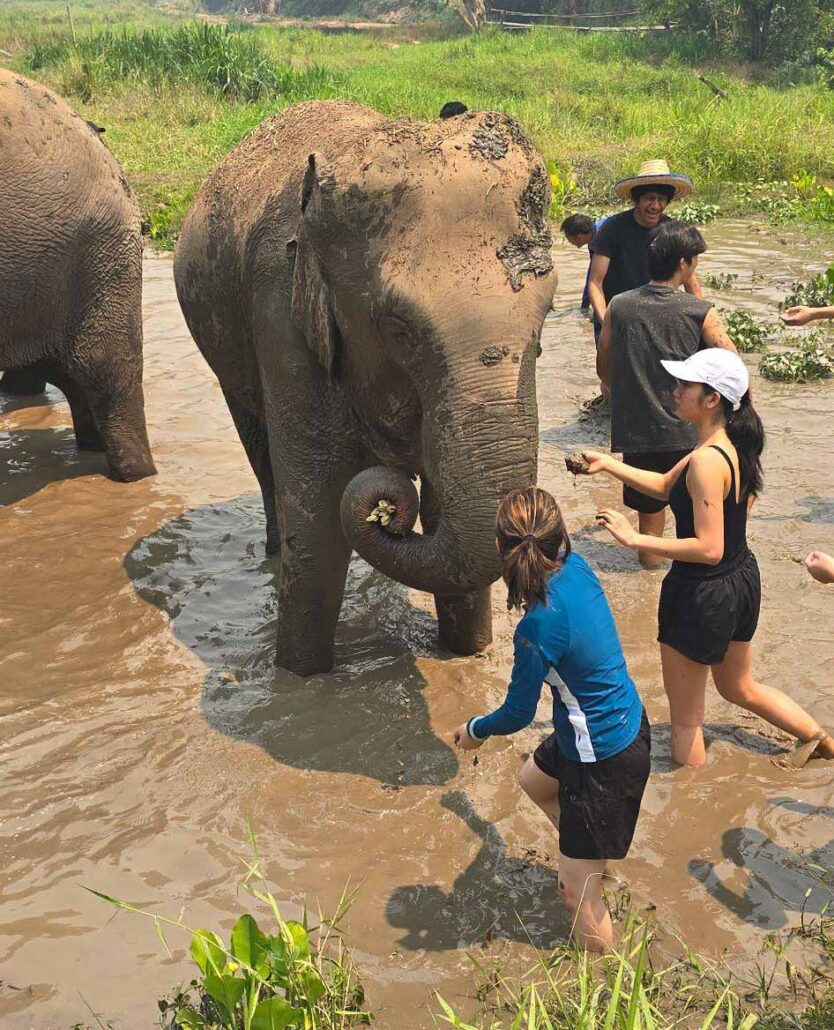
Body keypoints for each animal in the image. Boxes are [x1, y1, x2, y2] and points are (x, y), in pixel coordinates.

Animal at [174, 100, 556, 676]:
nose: (390, 510)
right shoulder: (280, 318)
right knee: (263, 459)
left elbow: (444, 508)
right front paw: (301, 678)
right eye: (399, 329)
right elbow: (319, 523)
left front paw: (467, 653)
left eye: (548, 312)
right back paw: (275, 553)